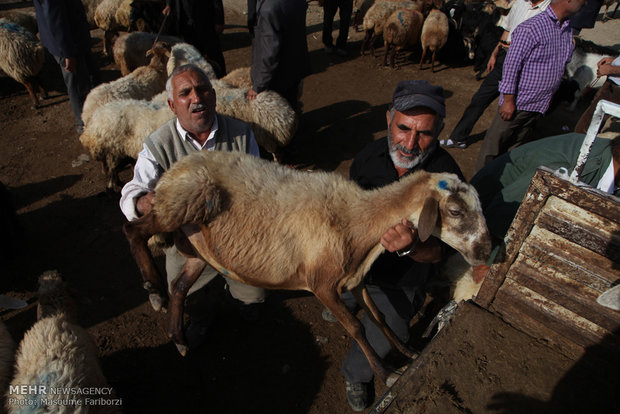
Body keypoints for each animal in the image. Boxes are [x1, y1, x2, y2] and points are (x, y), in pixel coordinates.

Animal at [123, 149, 492, 384]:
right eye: (455, 211)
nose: (486, 250)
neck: (358, 221)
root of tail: (175, 168)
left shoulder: (354, 280)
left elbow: (380, 317)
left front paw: (408, 352)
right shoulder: (323, 284)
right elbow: (356, 328)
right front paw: (387, 374)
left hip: (198, 246)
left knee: (180, 286)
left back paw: (178, 337)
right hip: (184, 200)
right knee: (134, 230)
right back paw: (152, 288)